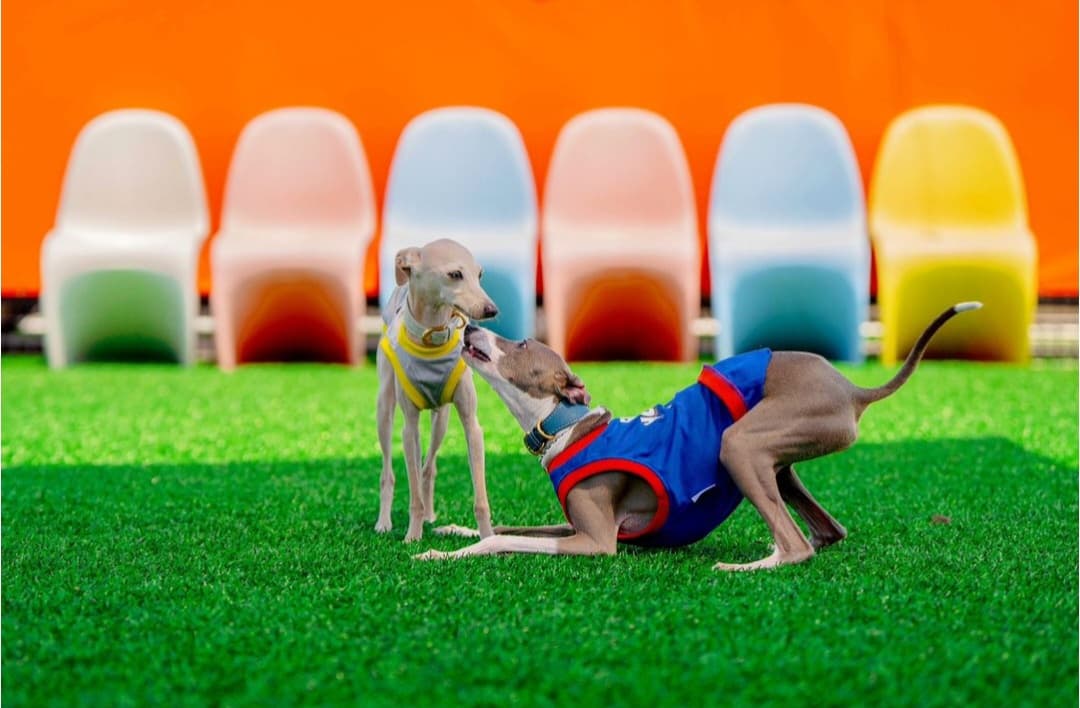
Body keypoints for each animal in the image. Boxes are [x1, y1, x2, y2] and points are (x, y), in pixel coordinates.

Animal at [378, 237, 498, 541]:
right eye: (455, 274)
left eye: (480, 274)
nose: (491, 310)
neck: (431, 338)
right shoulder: (409, 428)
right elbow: (412, 496)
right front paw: (412, 536)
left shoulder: (472, 426)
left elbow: (480, 497)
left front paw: (489, 538)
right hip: (384, 409)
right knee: (388, 472)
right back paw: (384, 522)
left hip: (441, 419)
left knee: (428, 467)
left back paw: (430, 516)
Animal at [416, 302, 984, 574]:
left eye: (521, 343)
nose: (469, 328)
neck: (565, 426)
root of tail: (852, 388)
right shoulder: (572, 525)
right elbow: (505, 527)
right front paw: (452, 530)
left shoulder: (597, 541)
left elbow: (502, 539)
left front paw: (440, 555)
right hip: (778, 462)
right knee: (826, 532)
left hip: (741, 444)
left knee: (798, 547)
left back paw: (743, 565)